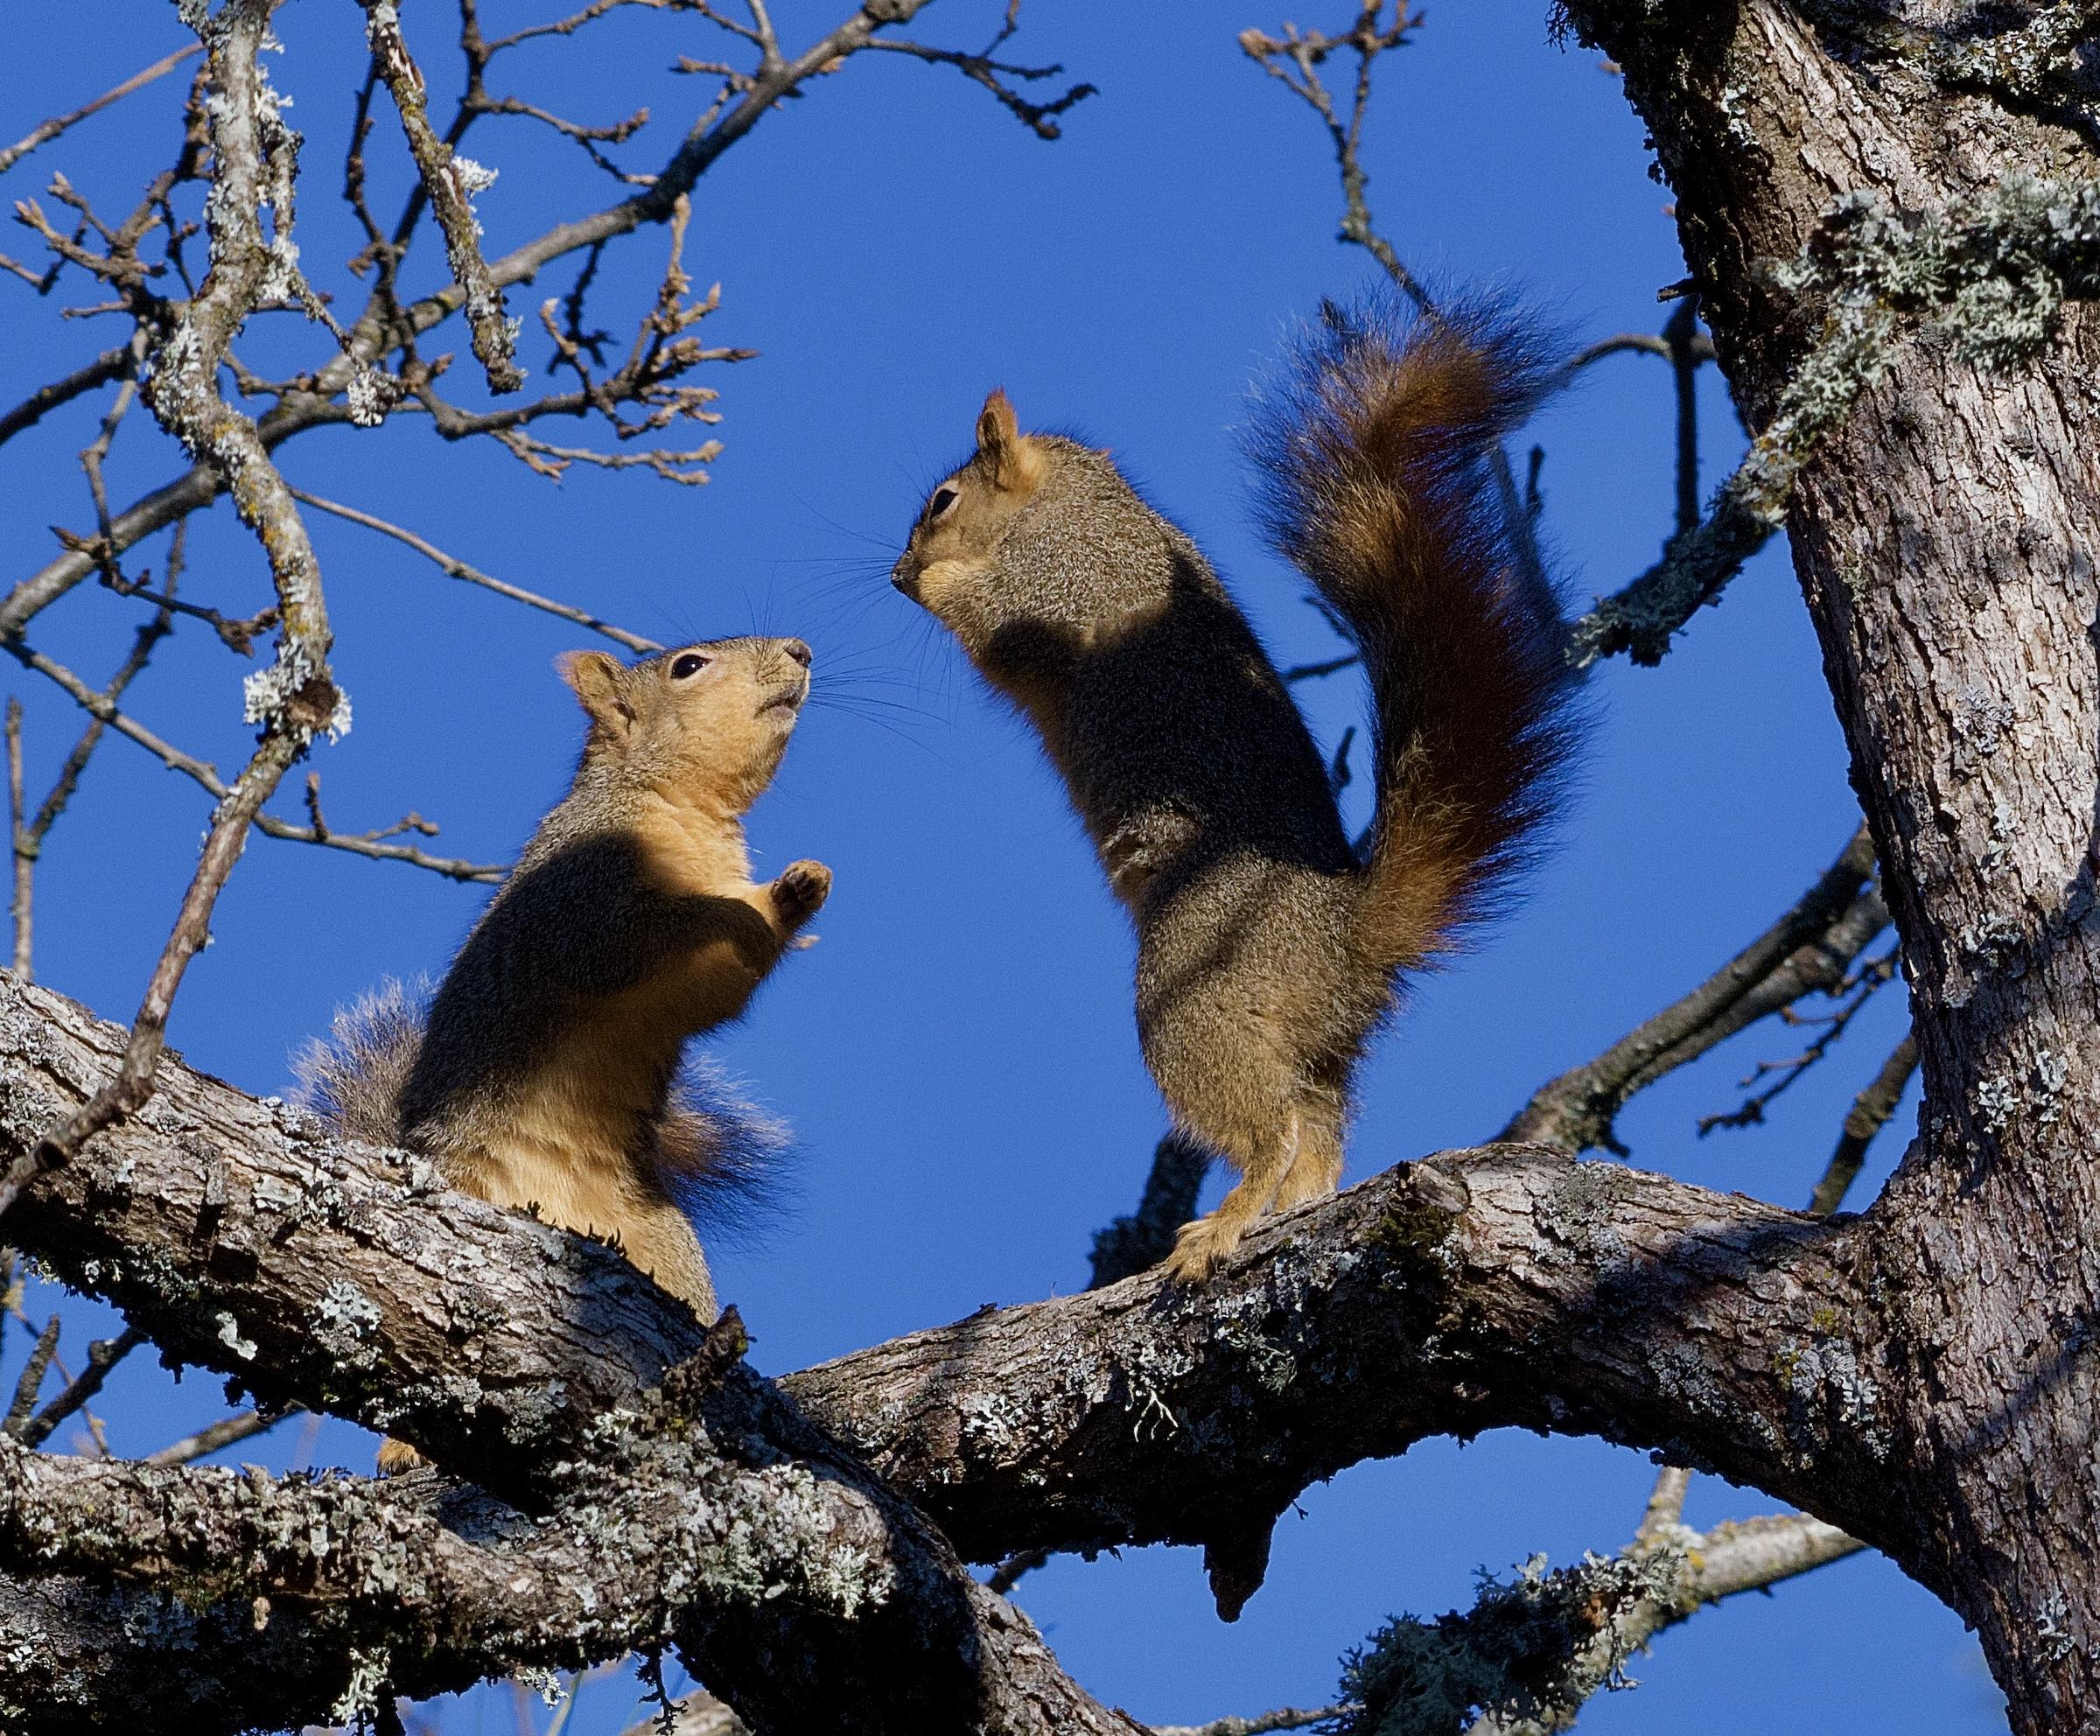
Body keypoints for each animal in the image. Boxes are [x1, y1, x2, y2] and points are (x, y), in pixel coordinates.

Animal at [300, 638, 831, 1469]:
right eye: (688, 666)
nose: (800, 650)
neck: (685, 810)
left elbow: (715, 991)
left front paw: (800, 892)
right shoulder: (581, 890)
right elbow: (627, 939)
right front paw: (750, 905)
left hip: (664, 1254)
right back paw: (401, 1452)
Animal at [894, 298, 1578, 1284]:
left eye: (943, 502)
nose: (898, 570)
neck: (1075, 504)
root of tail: (1346, 939)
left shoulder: (1059, 586)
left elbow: (996, 624)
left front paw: (939, 583)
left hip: (1196, 995)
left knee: (1269, 1130)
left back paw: (1225, 1222)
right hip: (1316, 1042)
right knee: (1319, 1128)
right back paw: (1298, 1203)